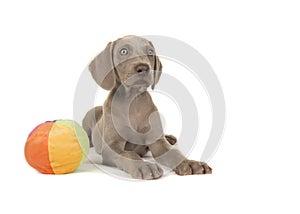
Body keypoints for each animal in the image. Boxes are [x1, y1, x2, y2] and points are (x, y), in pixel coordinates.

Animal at [83, 35, 212, 179]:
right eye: (123, 51)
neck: (133, 102)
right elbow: (129, 154)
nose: (143, 68)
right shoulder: (112, 147)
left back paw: (170, 138)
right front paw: (144, 166)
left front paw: (190, 163)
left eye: (150, 52)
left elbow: (174, 154)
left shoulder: (158, 143)